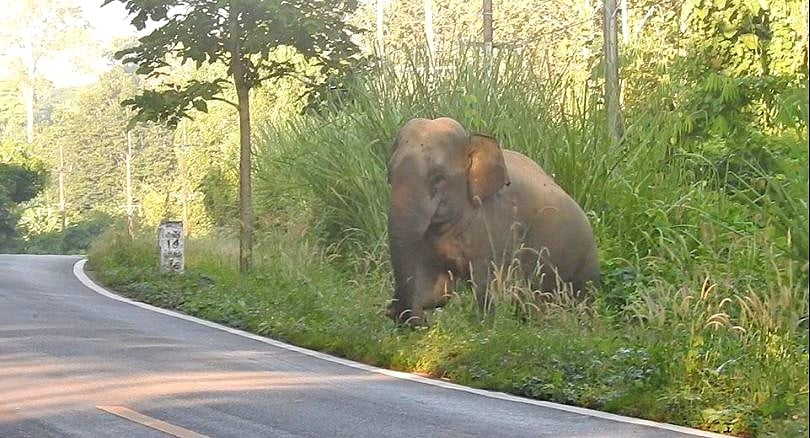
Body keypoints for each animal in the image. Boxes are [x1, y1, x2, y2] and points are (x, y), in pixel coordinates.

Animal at [386, 116, 600, 326]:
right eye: (389, 175)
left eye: (439, 178)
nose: (390, 310)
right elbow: (434, 289)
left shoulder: (497, 227)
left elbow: (488, 288)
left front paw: (486, 326)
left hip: (584, 263)